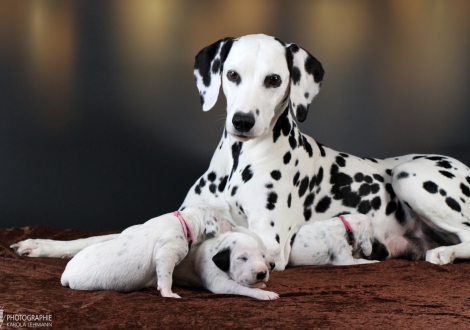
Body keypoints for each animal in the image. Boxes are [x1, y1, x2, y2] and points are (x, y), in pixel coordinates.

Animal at [9, 33, 470, 270]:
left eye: (273, 80)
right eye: (231, 75)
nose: (243, 121)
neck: (237, 164)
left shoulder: (270, 241)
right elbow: (113, 234)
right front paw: (45, 245)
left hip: (411, 176)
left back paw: (444, 252)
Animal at [59, 205, 223, 298]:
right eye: (225, 220)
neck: (185, 219)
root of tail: (65, 275)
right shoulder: (168, 251)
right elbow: (166, 276)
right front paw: (169, 294)